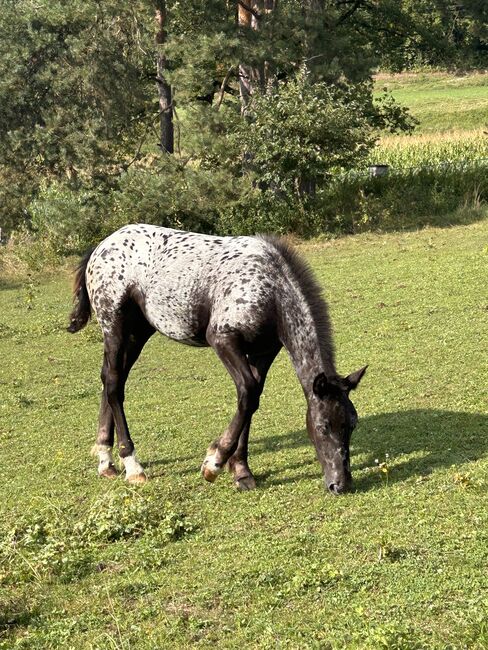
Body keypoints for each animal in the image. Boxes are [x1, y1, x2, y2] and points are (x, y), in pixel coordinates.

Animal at [68, 225, 366, 494]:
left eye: (352, 424)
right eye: (323, 426)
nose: (340, 484)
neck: (269, 288)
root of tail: (101, 246)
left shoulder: (263, 352)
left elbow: (252, 399)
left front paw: (241, 471)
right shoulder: (222, 340)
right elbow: (247, 392)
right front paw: (215, 462)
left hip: (137, 332)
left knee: (112, 379)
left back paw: (106, 461)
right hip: (114, 327)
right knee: (113, 383)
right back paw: (132, 466)